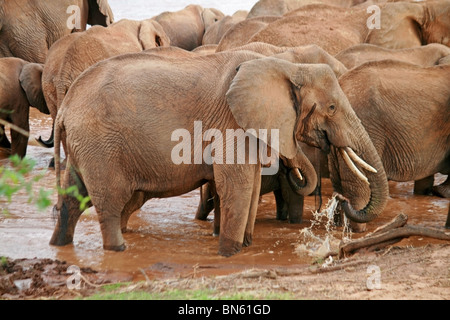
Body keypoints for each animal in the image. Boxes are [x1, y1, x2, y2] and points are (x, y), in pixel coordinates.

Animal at [48, 48, 386, 256]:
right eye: (332, 108)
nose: (341, 202)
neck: (285, 65)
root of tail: (64, 108)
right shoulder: (231, 123)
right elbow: (238, 185)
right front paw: (229, 253)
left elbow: (249, 186)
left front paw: (243, 246)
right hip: (100, 145)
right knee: (108, 200)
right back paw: (118, 250)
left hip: (85, 145)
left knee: (72, 195)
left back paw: (59, 245)